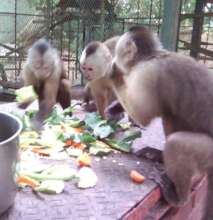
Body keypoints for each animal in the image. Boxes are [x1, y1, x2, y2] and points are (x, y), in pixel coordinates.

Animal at [105, 26, 213, 220]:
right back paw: (159, 156)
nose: (114, 60)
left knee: (176, 142)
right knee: (170, 113)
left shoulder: (146, 74)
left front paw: (113, 70)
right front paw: (115, 108)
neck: (152, 56)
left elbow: (144, 115)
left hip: (209, 155)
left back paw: (179, 198)